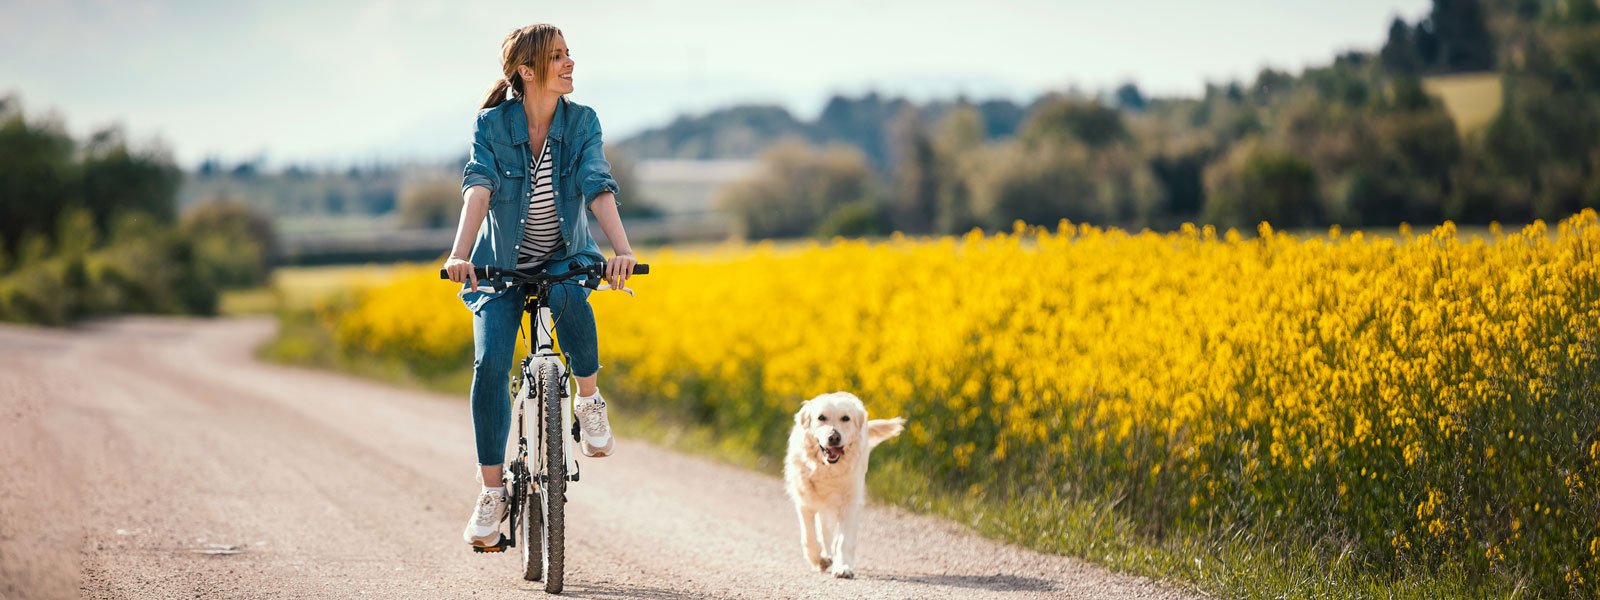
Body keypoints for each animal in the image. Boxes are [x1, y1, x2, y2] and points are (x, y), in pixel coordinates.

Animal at [784, 392, 908, 579]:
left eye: (845, 418)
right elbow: (809, 537)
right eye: (821, 417)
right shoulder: (805, 501)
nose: (834, 437)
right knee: (823, 531)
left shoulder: (849, 503)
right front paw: (819, 560)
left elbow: (843, 540)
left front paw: (843, 567)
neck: (827, 469)